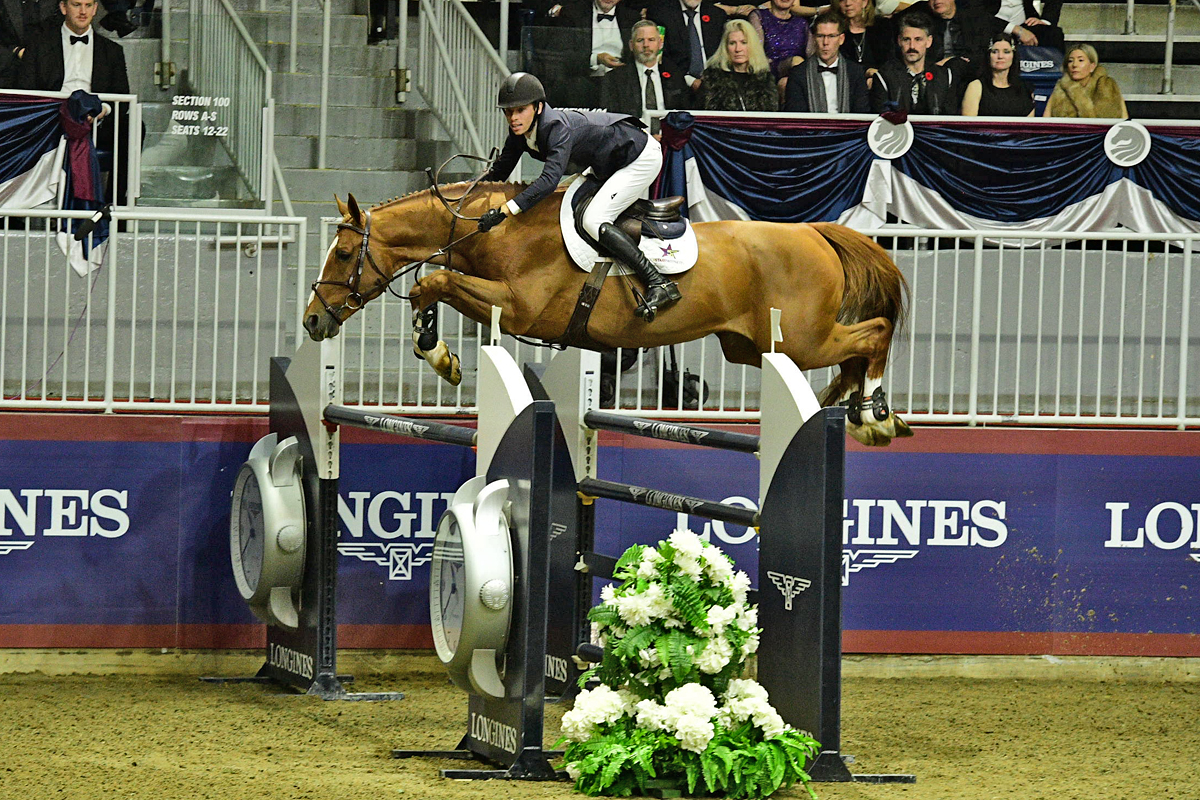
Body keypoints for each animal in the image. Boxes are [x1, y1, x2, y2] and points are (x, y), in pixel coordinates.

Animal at [300, 183, 907, 443]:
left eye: (345, 254)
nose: (312, 320)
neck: (499, 229)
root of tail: (815, 232)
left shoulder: (519, 309)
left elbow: (436, 280)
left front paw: (438, 353)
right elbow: (432, 287)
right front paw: (438, 352)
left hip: (801, 337)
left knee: (874, 332)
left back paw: (877, 412)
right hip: (754, 346)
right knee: (849, 354)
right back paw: (852, 410)